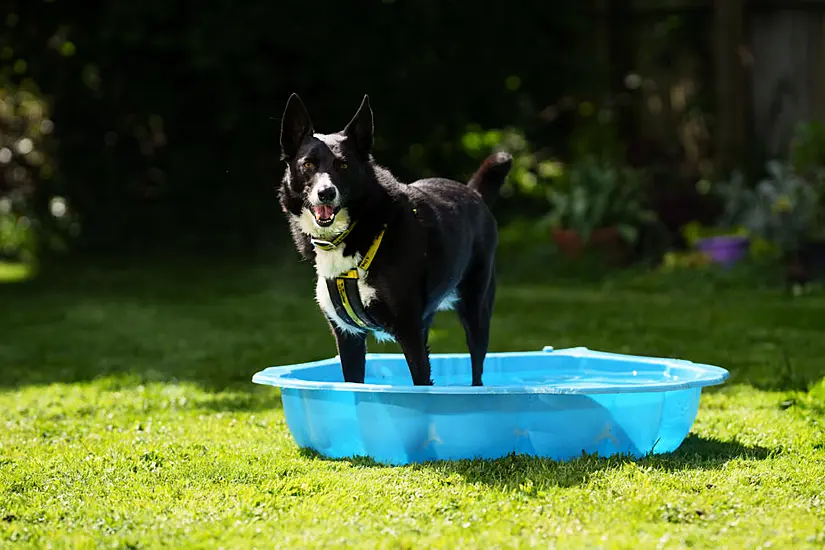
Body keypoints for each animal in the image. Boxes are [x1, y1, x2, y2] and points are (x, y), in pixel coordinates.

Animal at [276, 94, 508, 388]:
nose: (326, 193)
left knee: (477, 370)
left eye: (343, 165)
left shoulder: (409, 330)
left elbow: (421, 382)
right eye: (307, 165)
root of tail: (474, 192)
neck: (356, 229)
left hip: (476, 309)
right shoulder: (348, 337)